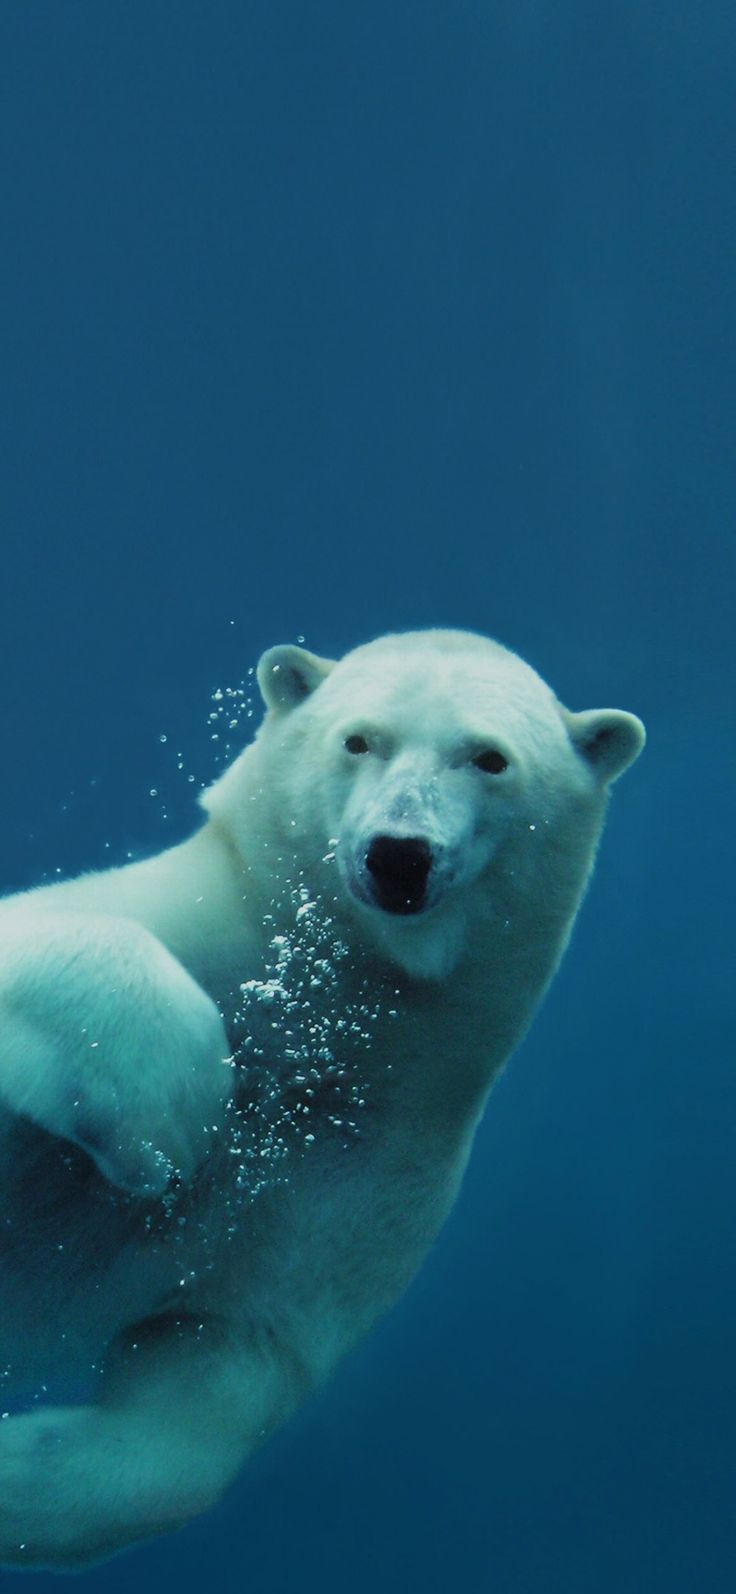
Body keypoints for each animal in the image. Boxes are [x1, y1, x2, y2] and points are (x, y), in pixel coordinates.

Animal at [0, 628, 643, 1562]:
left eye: (488, 757)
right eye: (359, 739)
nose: (399, 853)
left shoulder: (367, 1165)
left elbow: (222, 1369)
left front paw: (14, 1469)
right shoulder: (198, 925)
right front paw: (176, 1112)